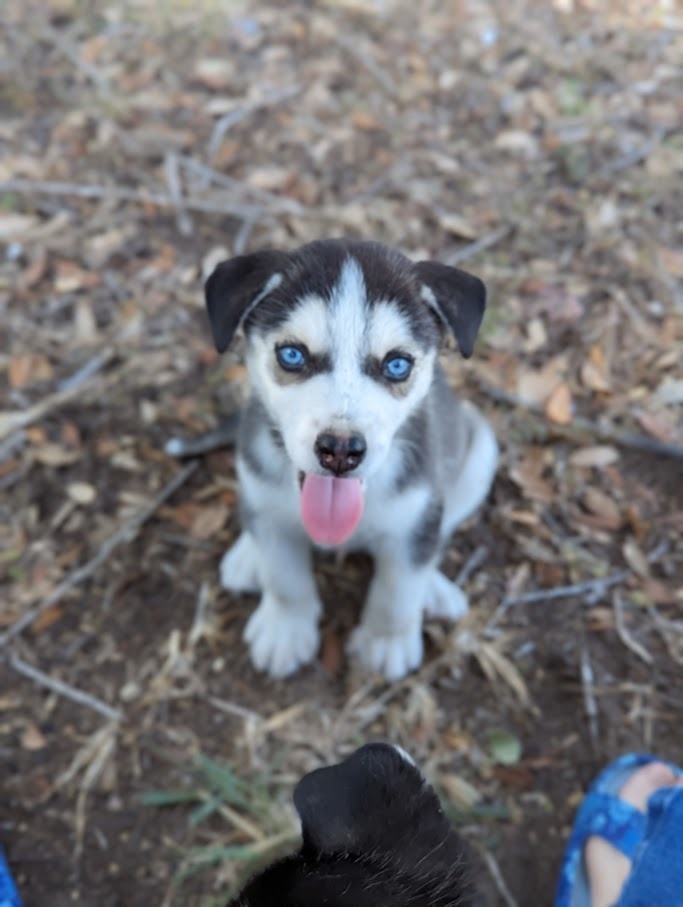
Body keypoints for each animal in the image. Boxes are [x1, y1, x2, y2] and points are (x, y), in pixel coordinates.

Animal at [203, 241, 496, 680]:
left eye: (397, 364)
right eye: (292, 354)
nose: (340, 450)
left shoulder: (415, 513)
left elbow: (400, 586)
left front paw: (386, 641)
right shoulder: (264, 502)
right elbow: (283, 577)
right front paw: (285, 629)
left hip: (480, 453)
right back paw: (246, 558)